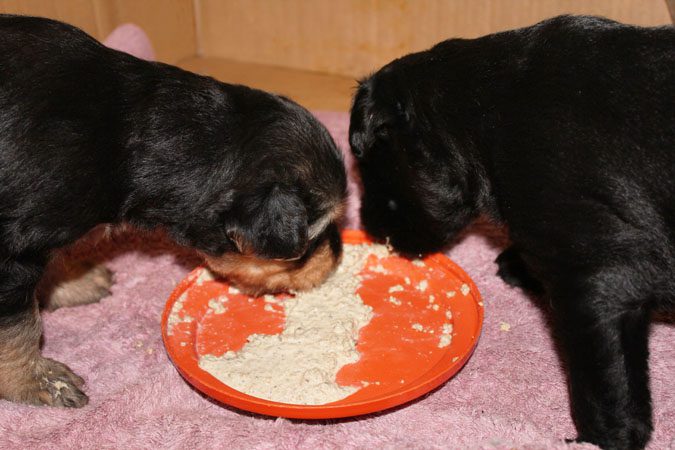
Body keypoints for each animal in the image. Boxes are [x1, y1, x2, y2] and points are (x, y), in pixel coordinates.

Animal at [0, 14, 346, 408]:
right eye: (310, 243)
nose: (338, 256)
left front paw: (74, 283)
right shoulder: (12, 253)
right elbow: (19, 325)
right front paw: (37, 380)